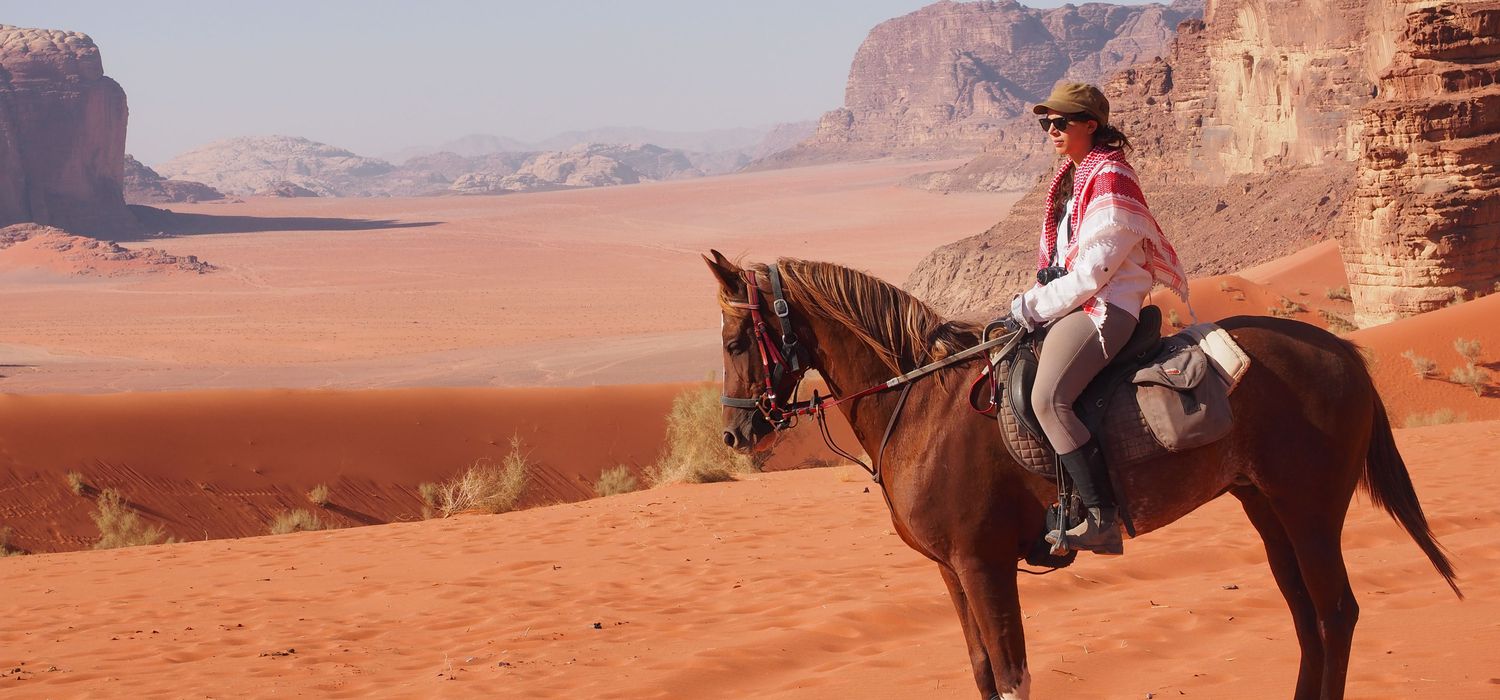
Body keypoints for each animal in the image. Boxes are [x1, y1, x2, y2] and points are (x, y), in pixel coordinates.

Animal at [708, 253, 1458, 700]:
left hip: (1310, 511)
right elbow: (983, 673)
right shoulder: (952, 570)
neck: (919, 404)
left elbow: (1013, 677)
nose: (735, 433)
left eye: (736, 340)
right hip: (1267, 509)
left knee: (1335, 613)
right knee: (1306, 615)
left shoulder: (983, 564)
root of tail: (1345, 352)